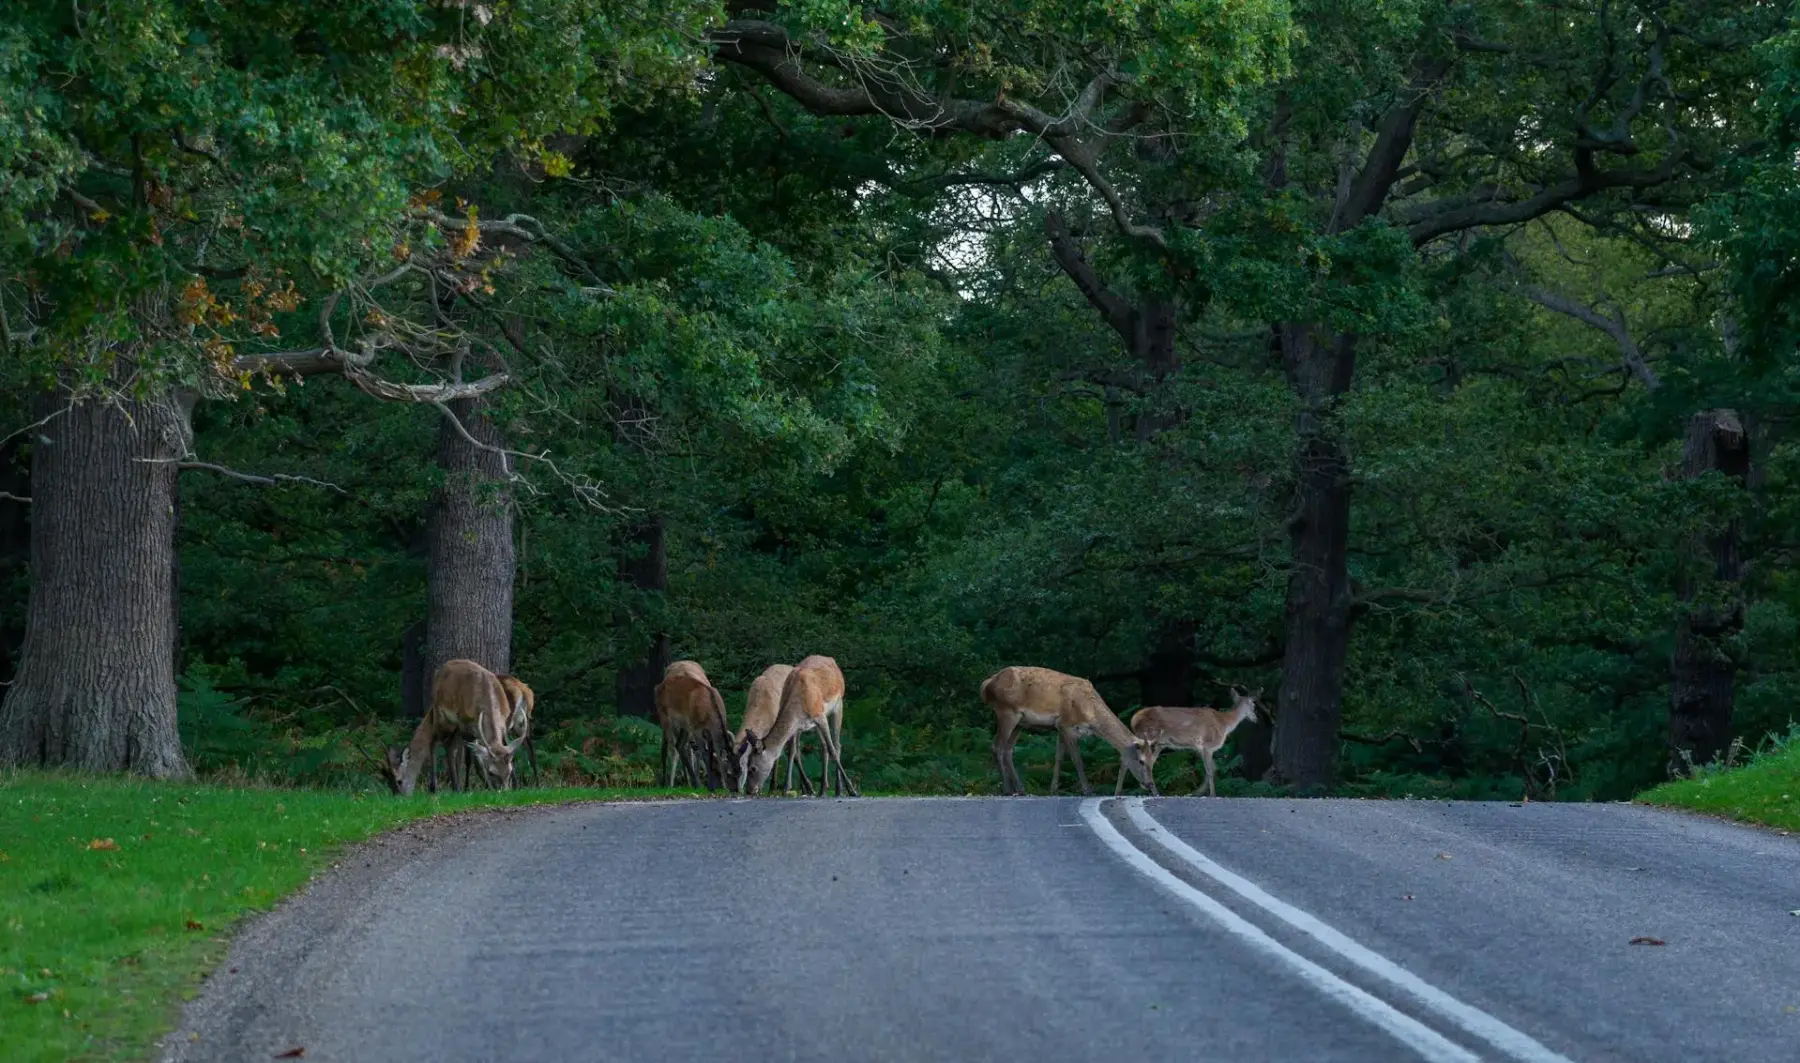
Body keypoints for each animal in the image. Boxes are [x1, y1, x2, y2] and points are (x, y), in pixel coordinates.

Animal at [378, 659, 523, 795]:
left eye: (509, 771)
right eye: (492, 772)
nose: (398, 795)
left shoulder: (503, 724)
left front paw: (514, 786)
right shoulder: (465, 726)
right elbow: (472, 760)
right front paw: (481, 787)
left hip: (453, 725)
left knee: (450, 746)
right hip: (442, 716)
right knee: (437, 743)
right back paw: (439, 787)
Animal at [654, 660, 736, 791]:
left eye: (738, 770)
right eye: (728, 773)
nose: (732, 788)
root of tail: (657, 687)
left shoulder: (707, 731)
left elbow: (711, 752)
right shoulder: (697, 728)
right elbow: (704, 754)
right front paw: (710, 786)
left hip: (684, 726)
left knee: (679, 745)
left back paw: (692, 782)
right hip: (664, 717)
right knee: (668, 747)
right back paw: (667, 783)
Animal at [743, 654, 858, 797]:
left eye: (753, 768)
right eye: (746, 765)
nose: (749, 790)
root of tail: (831, 659)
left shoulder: (819, 715)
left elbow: (833, 751)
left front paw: (852, 790)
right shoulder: (797, 726)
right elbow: (792, 752)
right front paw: (786, 788)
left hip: (838, 704)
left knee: (836, 745)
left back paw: (839, 789)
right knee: (823, 747)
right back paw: (823, 789)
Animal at [982, 665, 1153, 796]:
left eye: (1153, 761)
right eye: (1141, 761)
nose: (1150, 784)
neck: (1091, 714)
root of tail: (986, 684)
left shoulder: (1059, 728)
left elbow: (1058, 757)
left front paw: (1053, 790)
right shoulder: (1066, 724)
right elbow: (1077, 759)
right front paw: (1088, 790)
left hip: (1020, 722)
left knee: (1008, 750)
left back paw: (1020, 789)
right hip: (1006, 712)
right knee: (997, 747)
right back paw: (1007, 789)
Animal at [1115, 688, 1261, 798]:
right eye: (1254, 705)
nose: (1256, 718)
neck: (1224, 724)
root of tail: (1133, 719)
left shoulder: (1199, 748)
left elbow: (1213, 768)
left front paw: (1197, 792)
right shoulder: (1208, 745)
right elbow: (1209, 770)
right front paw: (1212, 794)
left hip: (1154, 743)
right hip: (1150, 737)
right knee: (1140, 761)